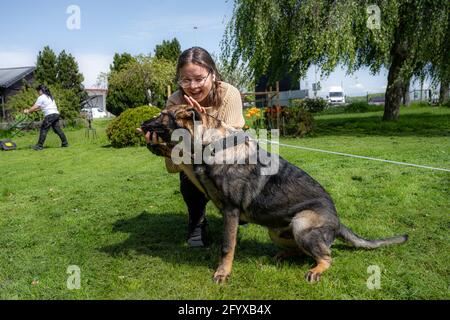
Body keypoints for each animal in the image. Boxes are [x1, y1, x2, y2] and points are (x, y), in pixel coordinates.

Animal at [142, 104, 408, 282]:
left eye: (161, 114)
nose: (142, 124)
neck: (211, 143)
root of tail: (337, 221)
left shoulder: (231, 211)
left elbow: (227, 246)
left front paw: (223, 273)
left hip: (301, 224)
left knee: (326, 256)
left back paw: (315, 271)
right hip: (277, 231)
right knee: (304, 252)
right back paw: (283, 255)